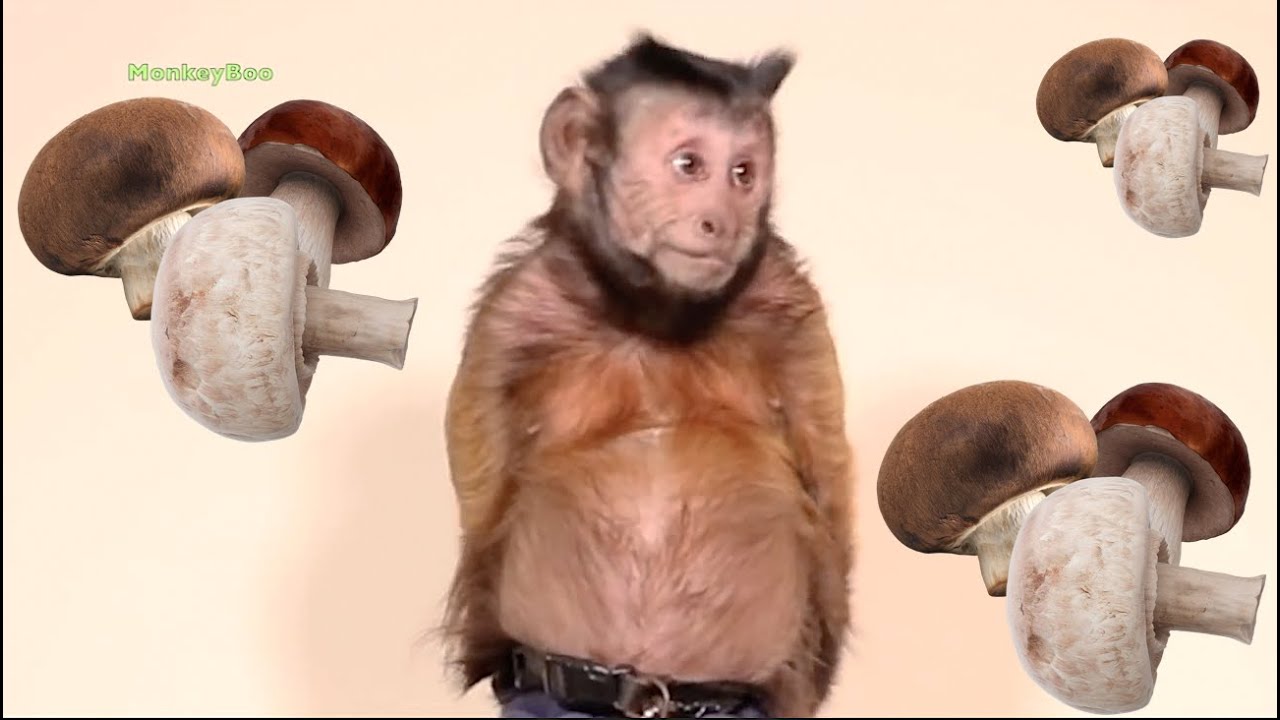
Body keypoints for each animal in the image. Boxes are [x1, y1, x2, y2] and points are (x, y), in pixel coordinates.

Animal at [442, 34, 854, 719]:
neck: (649, 317)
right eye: (689, 165)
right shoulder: (512, 316)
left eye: (742, 174)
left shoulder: (790, 302)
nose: (722, 219)